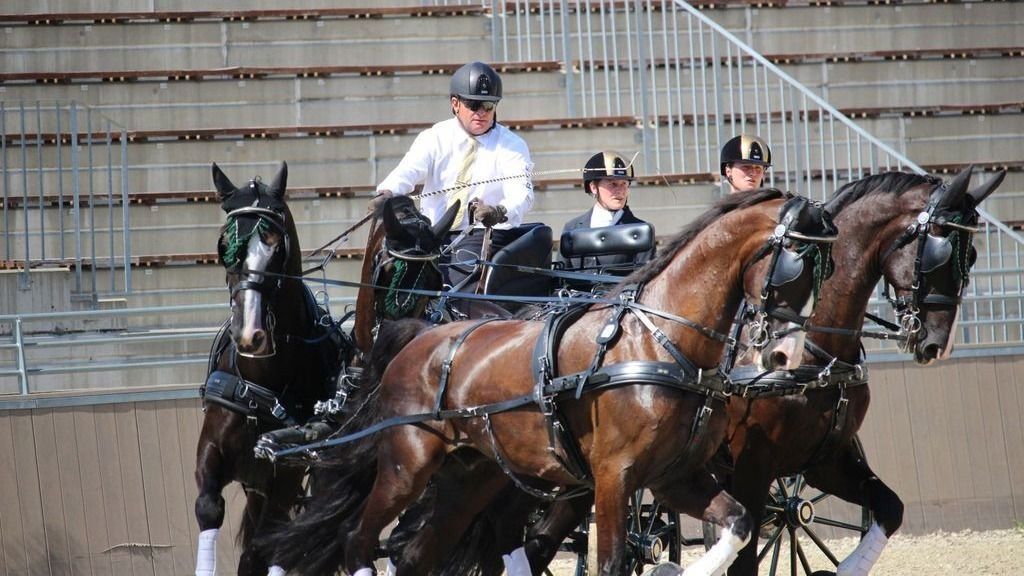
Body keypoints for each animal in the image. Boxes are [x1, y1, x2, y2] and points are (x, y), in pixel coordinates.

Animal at [260, 189, 835, 573]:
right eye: (791, 264)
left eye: (821, 271)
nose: (787, 354)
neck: (660, 341)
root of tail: (420, 336)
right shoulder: (614, 476)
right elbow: (612, 562)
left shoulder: (676, 476)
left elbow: (737, 526)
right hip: (408, 466)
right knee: (360, 540)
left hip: (472, 478)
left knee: (419, 553)